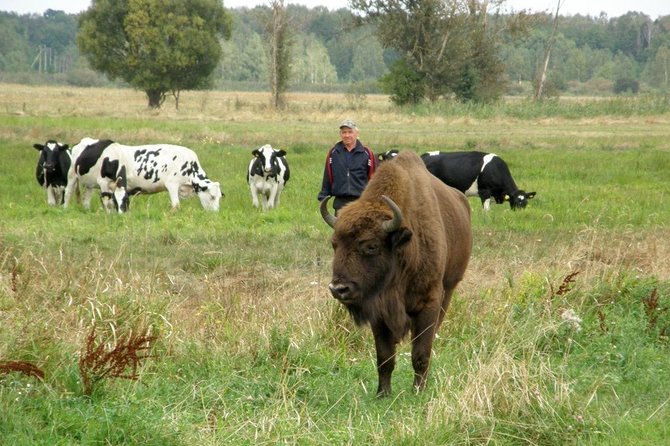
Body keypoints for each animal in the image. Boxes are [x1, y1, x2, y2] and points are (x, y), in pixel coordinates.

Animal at [63, 138, 222, 213]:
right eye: (212, 197)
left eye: (219, 197)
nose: (215, 213)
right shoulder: (172, 185)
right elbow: (176, 205)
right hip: (72, 176)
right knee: (68, 192)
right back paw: (65, 208)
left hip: (89, 184)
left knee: (86, 198)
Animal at [320, 151, 472, 398]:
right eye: (335, 244)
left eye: (371, 246)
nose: (338, 289)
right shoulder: (378, 313)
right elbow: (385, 358)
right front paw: (383, 393)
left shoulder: (429, 303)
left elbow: (420, 354)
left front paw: (418, 391)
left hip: (450, 288)